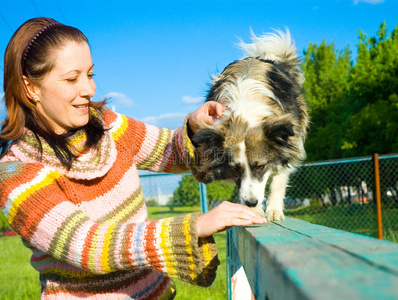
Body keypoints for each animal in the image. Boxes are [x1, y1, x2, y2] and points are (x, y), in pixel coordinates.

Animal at [189, 29, 308, 220]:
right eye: (234, 169)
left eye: (260, 166)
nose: (251, 202)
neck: (245, 110)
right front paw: (254, 211)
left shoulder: (291, 140)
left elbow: (279, 179)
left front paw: (273, 210)